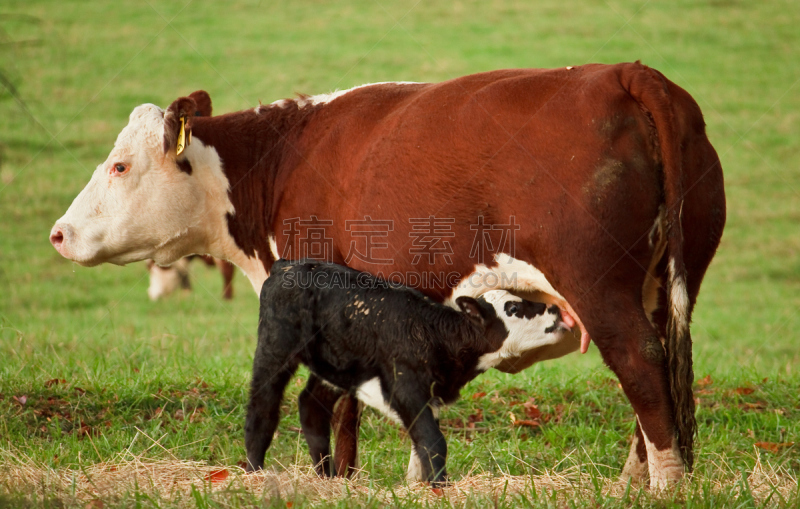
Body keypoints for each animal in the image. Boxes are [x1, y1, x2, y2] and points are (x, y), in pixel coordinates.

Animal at [50, 63, 724, 488]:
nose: (59, 233)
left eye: (119, 165)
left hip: (600, 288)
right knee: (662, 363)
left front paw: (337, 479)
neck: (283, 161)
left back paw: (663, 486)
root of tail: (623, 73)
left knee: (640, 362)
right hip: (664, 285)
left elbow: (337, 404)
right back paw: (632, 480)